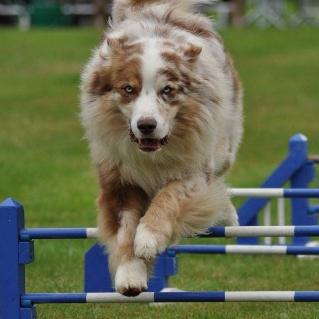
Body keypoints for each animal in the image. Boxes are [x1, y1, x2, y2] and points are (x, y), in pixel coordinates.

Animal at [80, 0, 242, 298]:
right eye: (128, 89)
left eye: (167, 90)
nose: (146, 125)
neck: (153, 155)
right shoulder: (118, 180)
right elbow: (124, 229)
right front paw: (130, 275)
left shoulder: (194, 169)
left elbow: (169, 197)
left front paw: (148, 238)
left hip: (224, 146)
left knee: (219, 180)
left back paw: (228, 218)